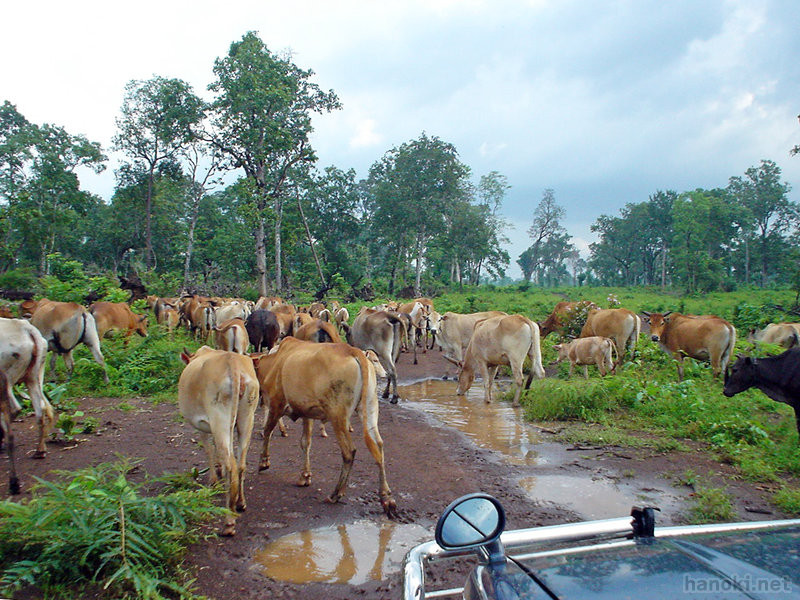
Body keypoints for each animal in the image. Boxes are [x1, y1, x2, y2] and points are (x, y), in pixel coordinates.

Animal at [179, 344, 260, 536]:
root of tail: (233, 361)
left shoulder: (201, 425)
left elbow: (209, 449)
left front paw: (214, 479)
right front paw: (219, 469)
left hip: (220, 419)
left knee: (231, 465)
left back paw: (229, 522)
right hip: (247, 418)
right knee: (241, 463)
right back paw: (240, 502)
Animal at [253, 338, 396, 516]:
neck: (275, 361)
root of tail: (354, 351)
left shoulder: (276, 403)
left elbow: (267, 431)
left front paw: (264, 462)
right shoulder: (307, 413)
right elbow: (305, 443)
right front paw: (305, 476)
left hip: (338, 416)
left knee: (349, 452)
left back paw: (336, 494)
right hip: (369, 408)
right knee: (379, 446)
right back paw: (386, 497)